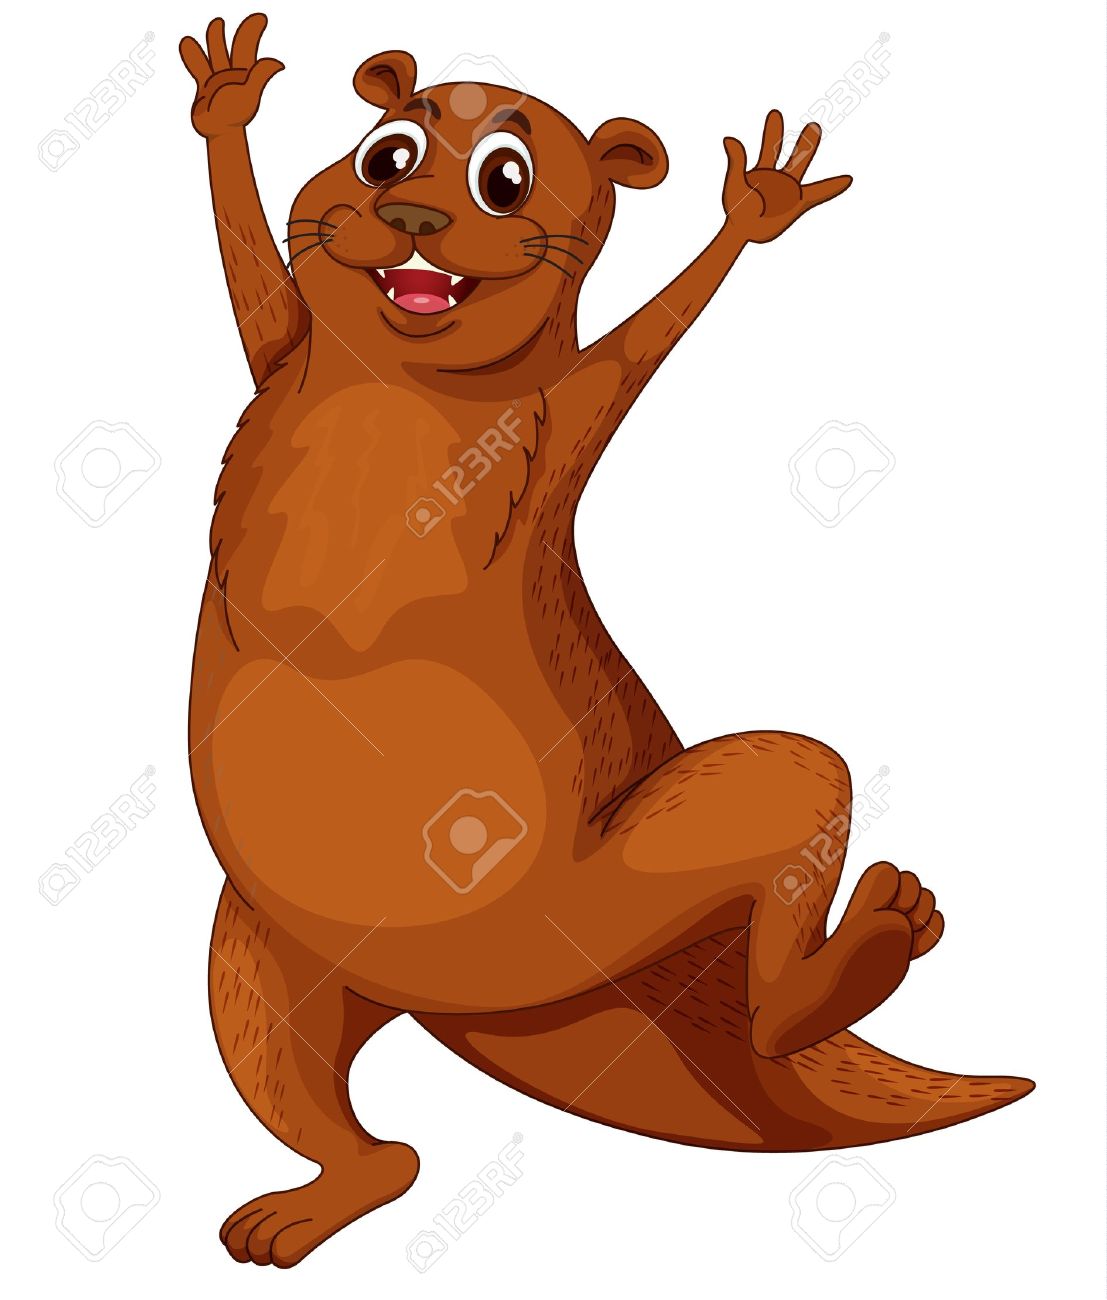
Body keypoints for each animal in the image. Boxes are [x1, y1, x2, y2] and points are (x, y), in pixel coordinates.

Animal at [182, 13, 1033, 1269]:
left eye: (504, 178)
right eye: (387, 155)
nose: (416, 218)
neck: (402, 381)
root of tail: (474, 998)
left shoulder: (569, 412)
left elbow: (643, 341)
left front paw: (757, 208)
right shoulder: (282, 345)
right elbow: (253, 273)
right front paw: (227, 100)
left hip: (627, 893)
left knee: (791, 810)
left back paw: (858, 952)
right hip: (262, 954)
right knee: (360, 1135)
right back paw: (313, 1199)